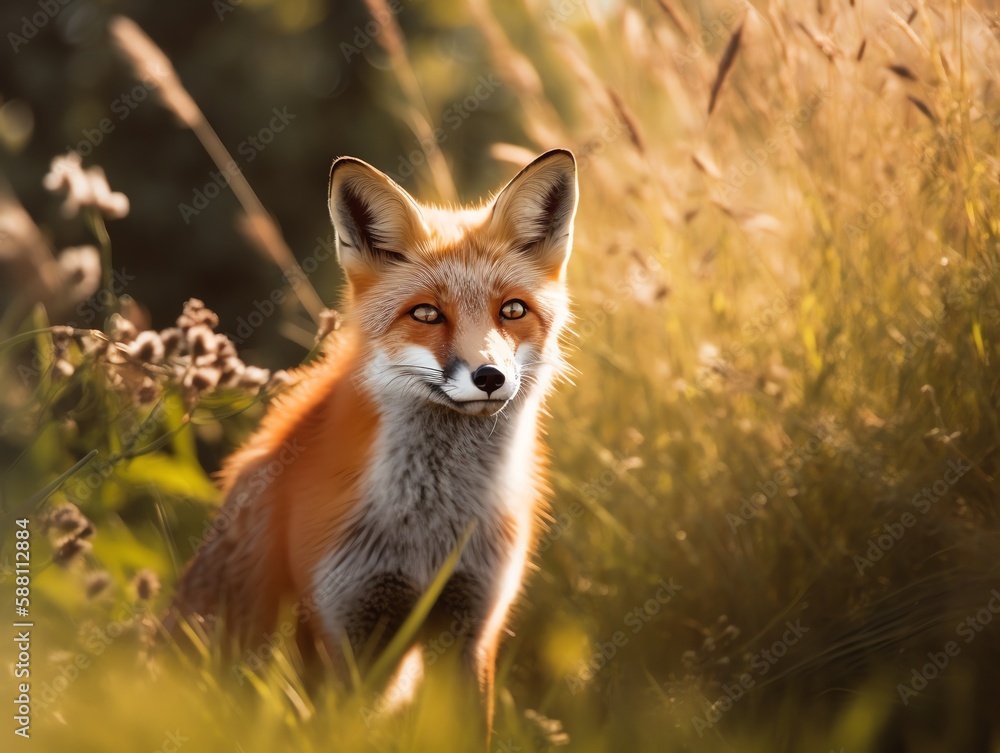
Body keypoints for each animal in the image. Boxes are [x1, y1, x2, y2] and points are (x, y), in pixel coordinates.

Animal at [166, 148, 578, 733]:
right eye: (426, 313)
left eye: (513, 310)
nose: (490, 376)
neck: (427, 533)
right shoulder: (342, 623)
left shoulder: (473, 626)